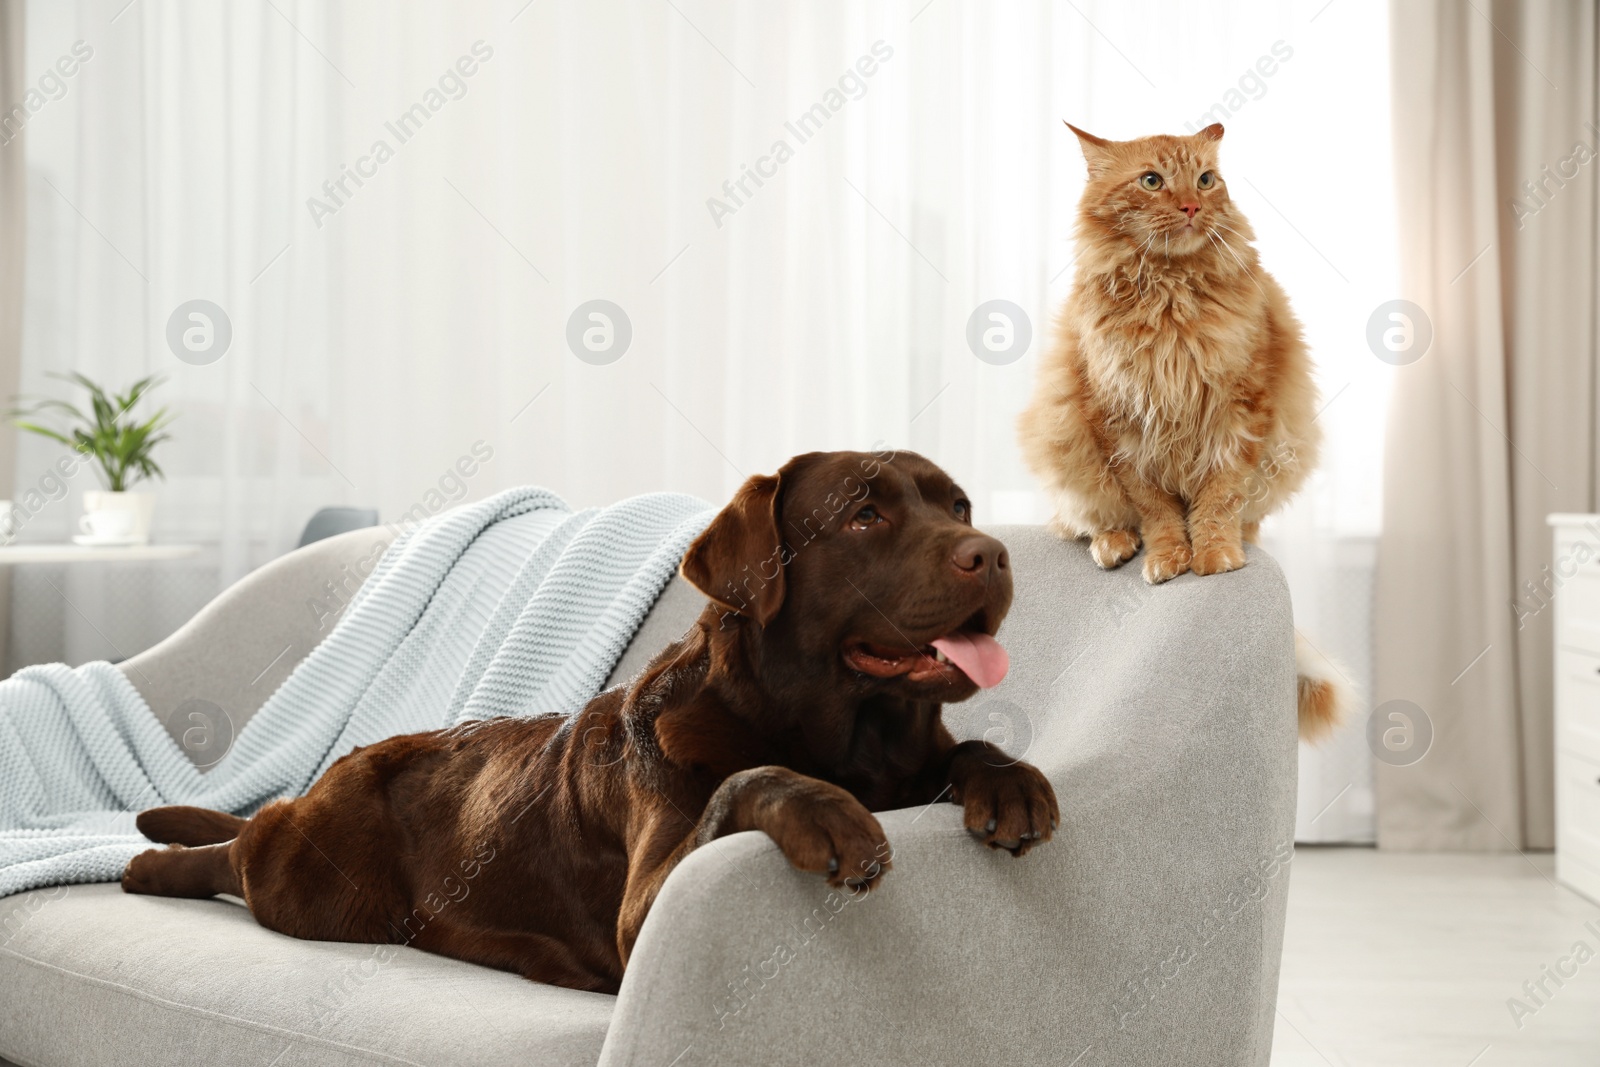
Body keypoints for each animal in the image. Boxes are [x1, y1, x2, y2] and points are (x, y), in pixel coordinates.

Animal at [1017, 120, 1344, 742]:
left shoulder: (1242, 413)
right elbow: (1157, 511)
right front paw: (1169, 555)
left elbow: (1217, 501)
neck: (1170, 294)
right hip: (1064, 446)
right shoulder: (1118, 424)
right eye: (1152, 181)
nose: (1193, 205)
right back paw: (1114, 544)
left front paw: (1214, 554)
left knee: (1247, 519)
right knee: (1086, 520)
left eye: (1206, 179)